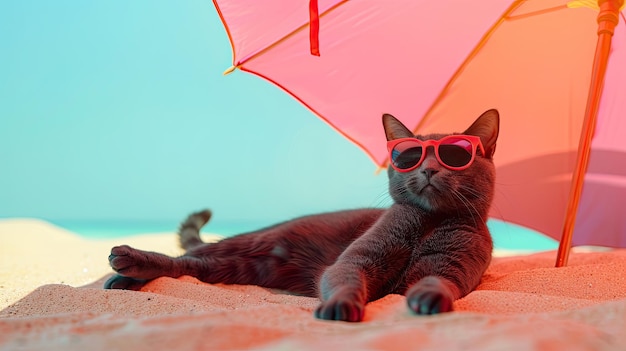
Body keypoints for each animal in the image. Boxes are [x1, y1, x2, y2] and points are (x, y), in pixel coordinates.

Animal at [106, 109, 498, 322]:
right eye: (411, 157)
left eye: (453, 156)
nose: (429, 169)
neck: (427, 223)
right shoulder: (356, 258)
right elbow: (345, 278)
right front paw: (340, 306)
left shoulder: (452, 265)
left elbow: (436, 281)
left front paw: (430, 300)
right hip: (251, 242)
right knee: (184, 258)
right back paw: (124, 265)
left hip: (237, 268)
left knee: (189, 269)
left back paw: (128, 276)